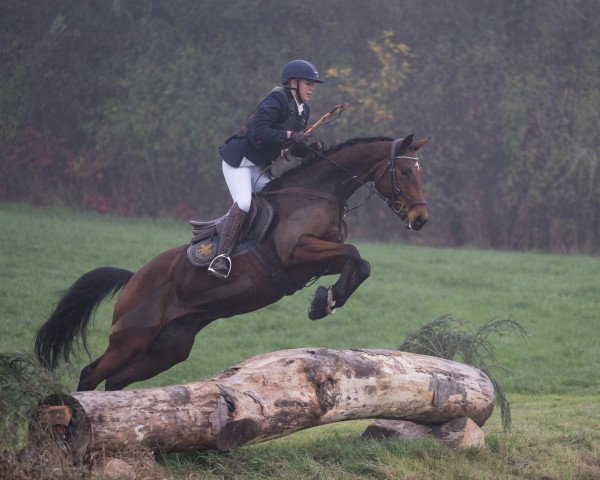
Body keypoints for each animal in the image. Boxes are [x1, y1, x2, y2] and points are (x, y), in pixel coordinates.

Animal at [35, 133, 428, 392]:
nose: (421, 220)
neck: (318, 191)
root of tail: (134, 279)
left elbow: (360, 263)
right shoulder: (297, 252)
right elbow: (355, 254)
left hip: (168, 348)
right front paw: (324, 302)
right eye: (405, 173)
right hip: (131, 338)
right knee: (91, 374)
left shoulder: (316, 259)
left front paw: (327, 300)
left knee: (115, 380)